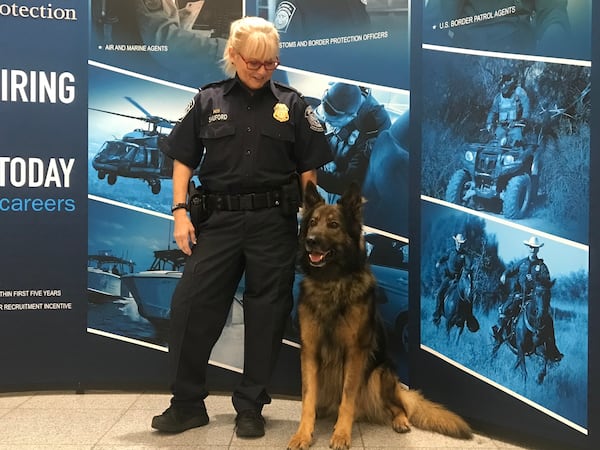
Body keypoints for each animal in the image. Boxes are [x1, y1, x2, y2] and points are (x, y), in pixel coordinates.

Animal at [288, 182, 474, 450]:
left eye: (333, 225)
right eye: (312, 222)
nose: (311, 241)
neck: (332, 283)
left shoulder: (355, 353)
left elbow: (348, 397)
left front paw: (341, 434)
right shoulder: (310, 352)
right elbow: (308, 398)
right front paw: (303, 434)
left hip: (378, 374)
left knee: (397, 406)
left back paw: (400, 420)